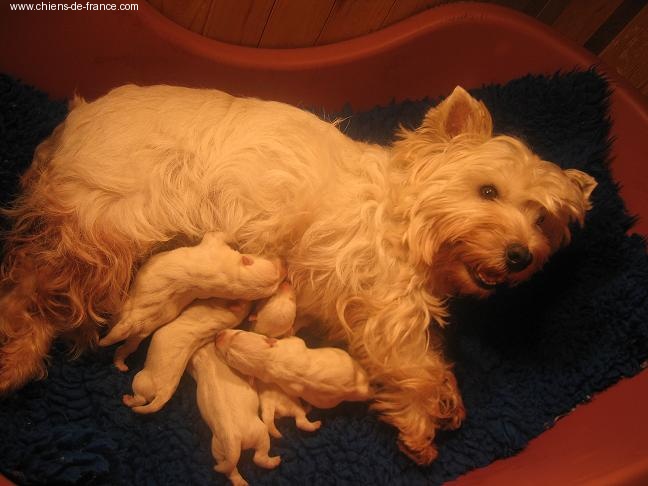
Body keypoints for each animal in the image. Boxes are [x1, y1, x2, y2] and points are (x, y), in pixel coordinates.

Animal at [186, 344, 280, 484]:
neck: (208, 357)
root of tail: (232, 439)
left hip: (218, 449)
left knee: (230, 470)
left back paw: (240, 482)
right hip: (260, 433)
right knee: (258, 457)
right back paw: (275, 461)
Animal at [216, 328, 372, 408]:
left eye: (239, 333)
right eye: (227, 356)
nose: (217, 336)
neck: (269, 359)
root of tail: (360, 389)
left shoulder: (293, 344)